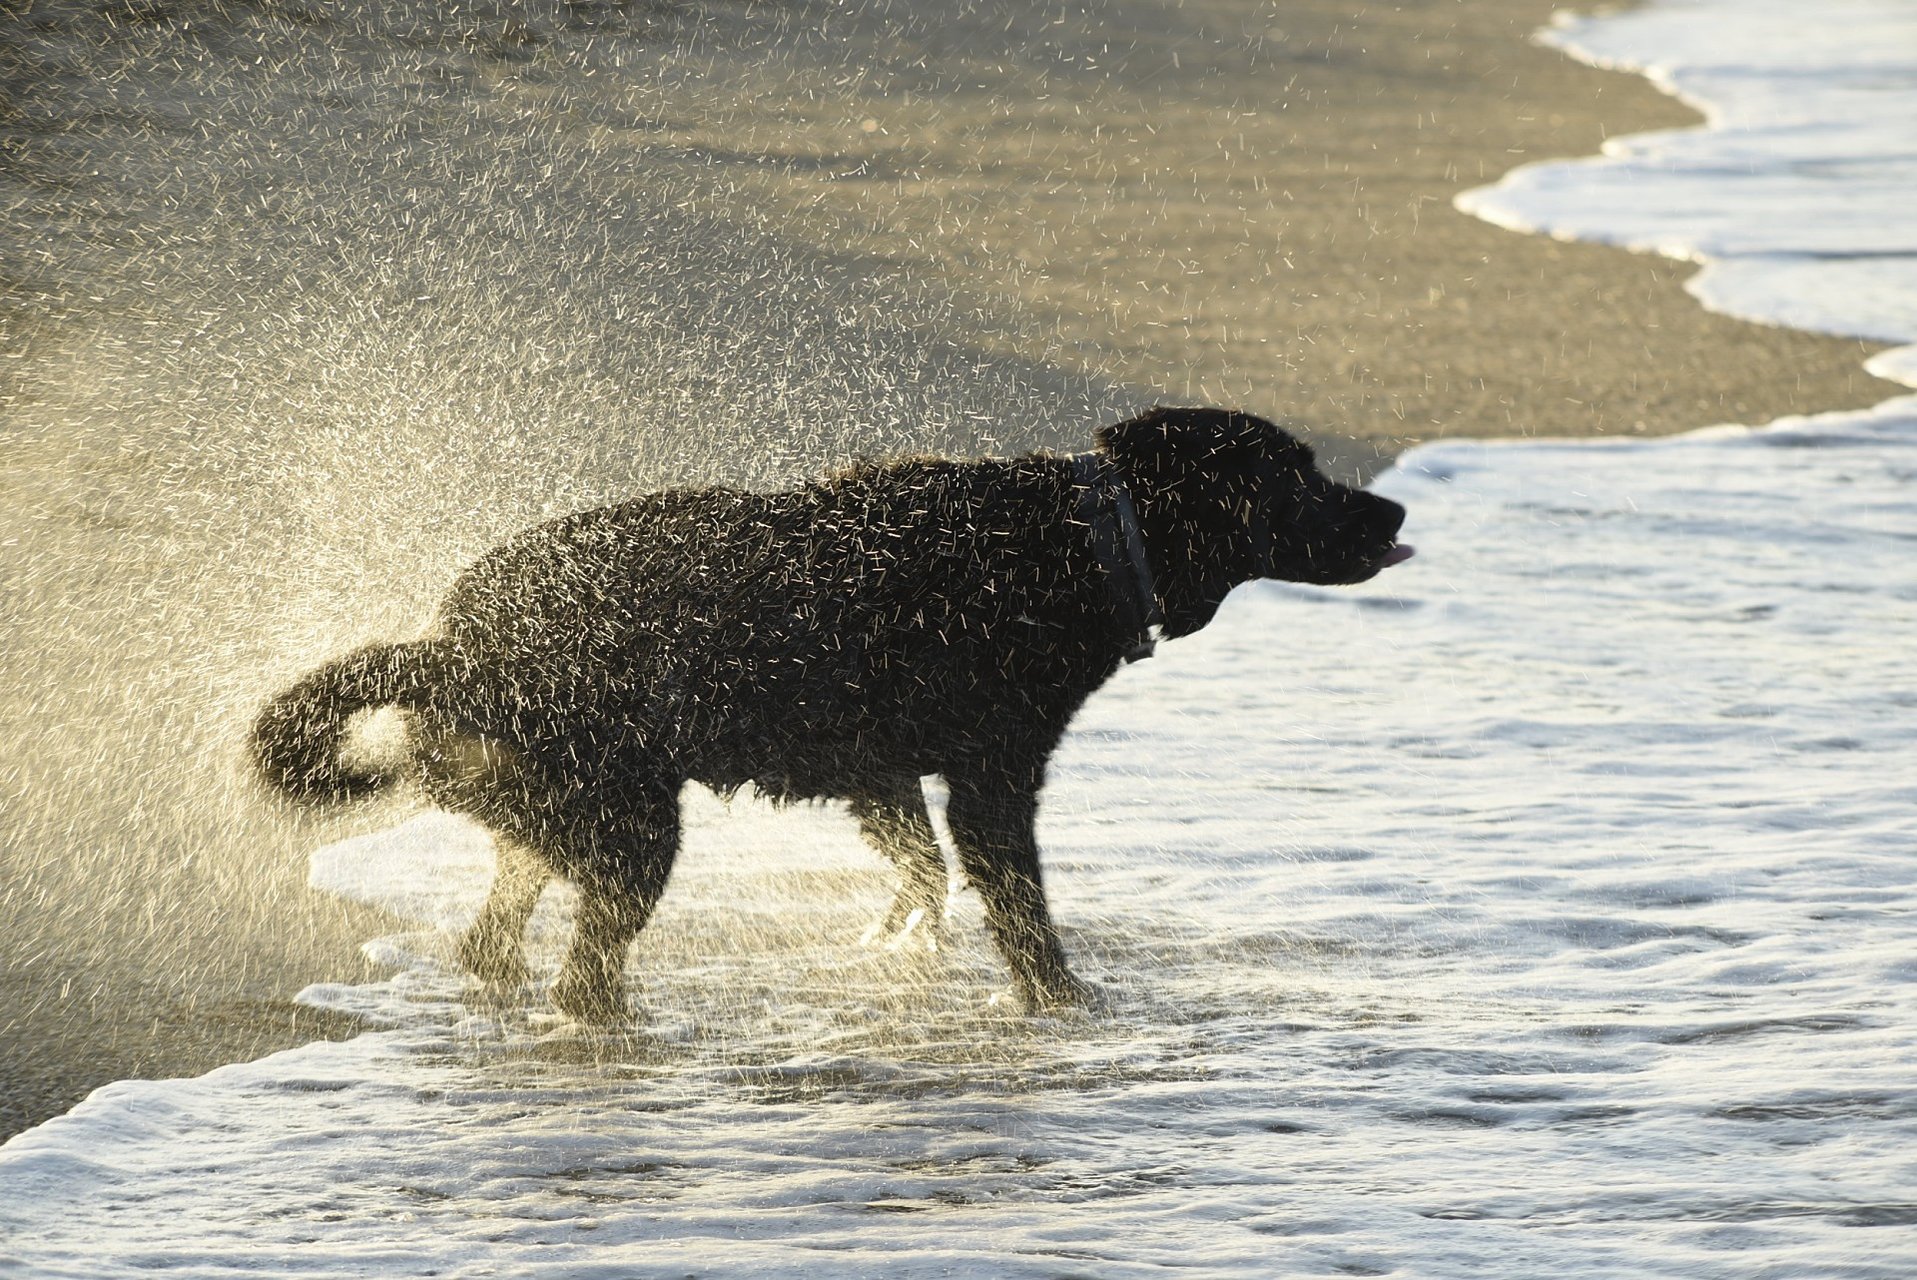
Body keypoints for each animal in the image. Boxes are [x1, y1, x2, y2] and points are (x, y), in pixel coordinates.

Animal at [254, 410, 1410, 1019]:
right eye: (1299, 473)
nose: (1397, 509)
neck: (1087, 539)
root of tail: (447, 643)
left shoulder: (881, 771)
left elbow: (920, 873)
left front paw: (902, 944)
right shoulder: (993, 781)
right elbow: (1022, 916)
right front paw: (1062, 1008)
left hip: (548, 810)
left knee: (497, 938)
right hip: (631, 823)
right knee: (585, 970)